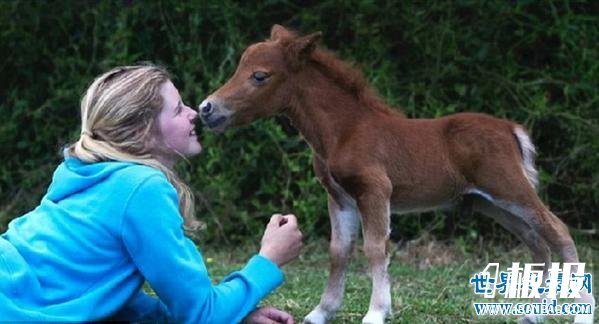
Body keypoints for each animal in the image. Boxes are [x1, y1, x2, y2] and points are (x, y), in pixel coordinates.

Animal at [198, 24, 596, 322]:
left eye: (259, 76)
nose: (206, 108)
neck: (344, 130)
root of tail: (511, 129)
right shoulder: (339, 197)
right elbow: (338, 250)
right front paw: (320, 313)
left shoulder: (374, 189)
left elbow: (376, 248)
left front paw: (376, 313)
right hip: (491, 203)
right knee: (537, 241)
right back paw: (533, 314)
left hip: (510, 188)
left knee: (557, 230)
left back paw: (580, 313)